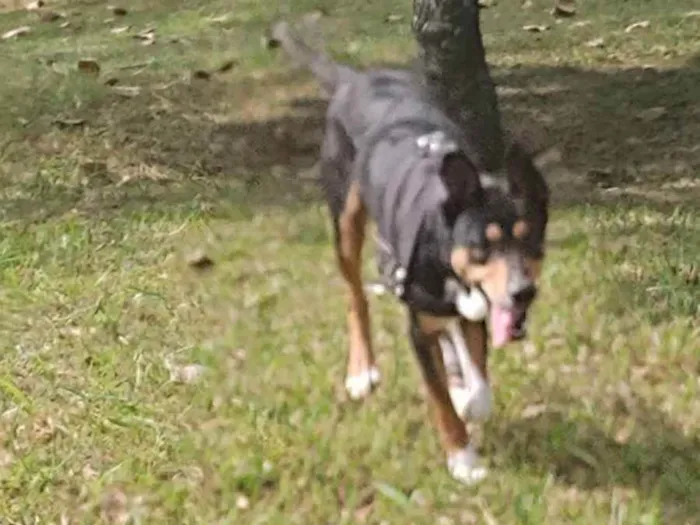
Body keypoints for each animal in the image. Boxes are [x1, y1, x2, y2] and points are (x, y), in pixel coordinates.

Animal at [268, 19, 548, 484]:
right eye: (482, 245)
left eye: (531, 241)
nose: (522, 292)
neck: (443, 240)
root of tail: (354, 79)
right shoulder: (419, 328)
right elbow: (441, 400)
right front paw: (463, 459)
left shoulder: (474, 307)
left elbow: (478, 380)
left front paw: (467, 393)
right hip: (345, 218)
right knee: (355, 296)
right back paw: (362, 371)